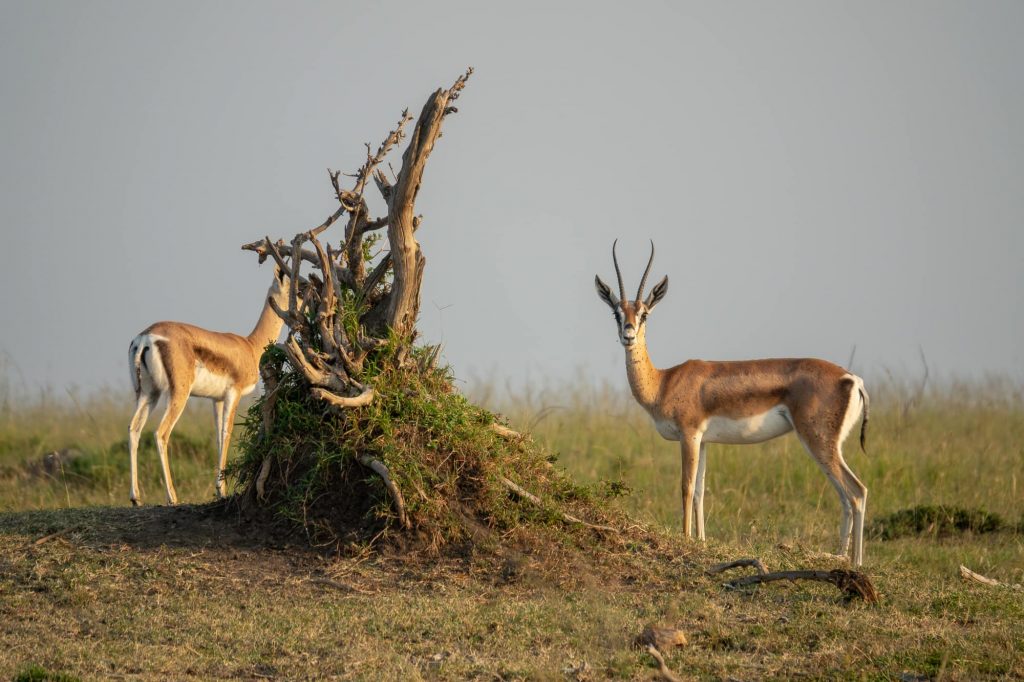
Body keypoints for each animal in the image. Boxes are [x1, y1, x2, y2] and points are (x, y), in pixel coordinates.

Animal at [128, 266, 290, 503]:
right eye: (299, 286)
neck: (250, 347)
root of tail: (145, 338)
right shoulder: (234, 393)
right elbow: (227, 433)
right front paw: (221, 490)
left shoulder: (217, 399)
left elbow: (218, 437)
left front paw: (221, 488)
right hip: (177, 395)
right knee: (160, 433)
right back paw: (172, 497)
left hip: (148, 393)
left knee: (133, 430)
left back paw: (136, 497)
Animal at [593, 238, 872, 561]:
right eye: (617, 313)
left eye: (645, 313)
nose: (628, 335)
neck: (663, 382)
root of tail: (851, 379)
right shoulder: (703, 441)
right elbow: (700, 491)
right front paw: (701, 540)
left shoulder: (689, 435)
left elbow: (686, 486)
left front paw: (686, 538)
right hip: (825, 446)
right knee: (845, 496)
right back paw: (838, 556)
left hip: (818, 440)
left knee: (857, 492)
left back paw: (856, 562)